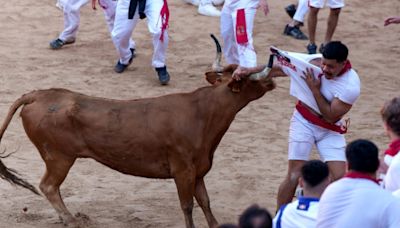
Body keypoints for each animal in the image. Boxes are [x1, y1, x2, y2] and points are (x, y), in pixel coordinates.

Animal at [0, 37, 276, 226]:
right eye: (248, 79)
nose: (271, 79)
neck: (203, 112)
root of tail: (38, 94)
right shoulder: (183, 171)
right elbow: (187, 206)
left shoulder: (198, 171)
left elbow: (205, 202)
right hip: (59, 157)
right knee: (48, 186)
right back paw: (72, 220)